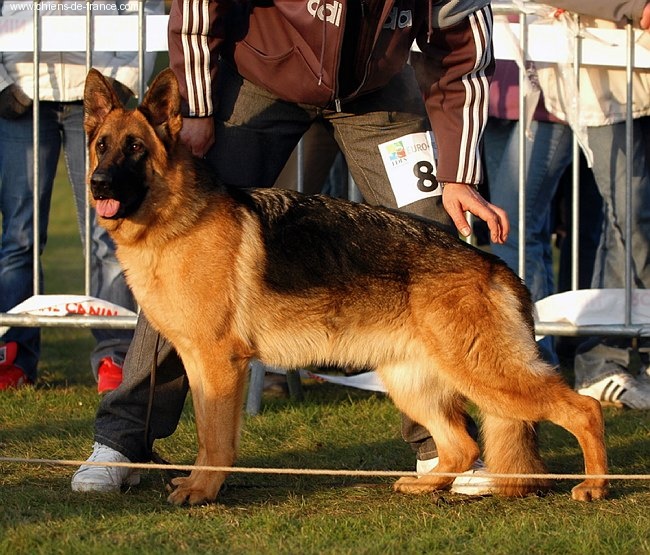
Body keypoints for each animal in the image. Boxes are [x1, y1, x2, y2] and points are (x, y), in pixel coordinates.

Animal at [83, 67, 604, 506]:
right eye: (102, 146)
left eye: (135, 148)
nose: (98, 183)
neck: (176, 222)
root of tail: (493, 265)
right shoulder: (199, 364)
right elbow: (209, 432)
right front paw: (199, 484)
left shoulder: (220, 365)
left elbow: (214, 438)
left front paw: (202, 490)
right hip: (413, 382)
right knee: (461, 444)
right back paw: (428, 485)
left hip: (486, 375)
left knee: (585, 408)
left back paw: (594, 486)